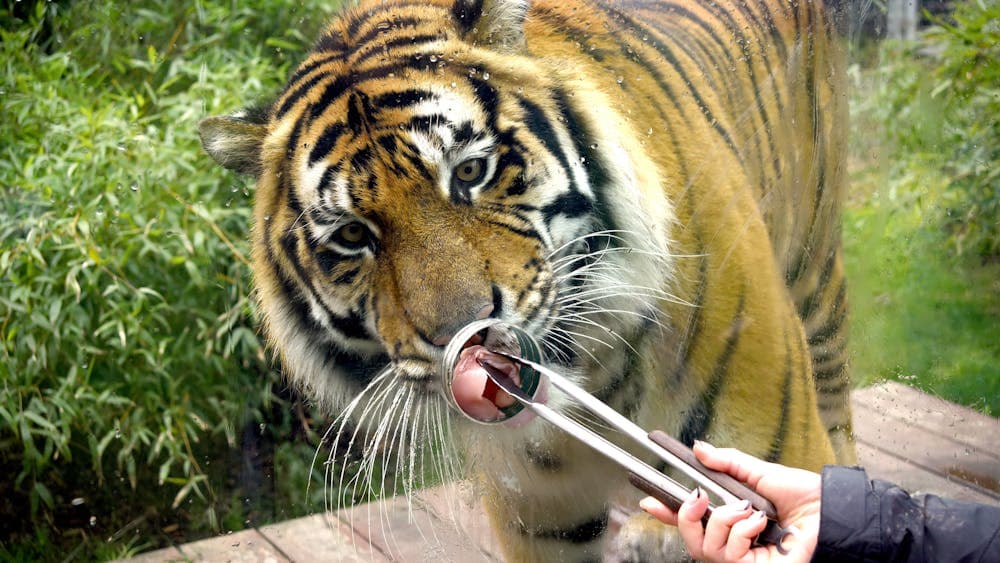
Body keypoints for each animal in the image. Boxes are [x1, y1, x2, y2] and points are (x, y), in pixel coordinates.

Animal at [199, 0, 855, 559]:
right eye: (354, 234)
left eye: (471, 172)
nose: (464, 337)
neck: (599, 386)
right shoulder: (540, 520)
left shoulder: (775, 443)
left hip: (817, 281)